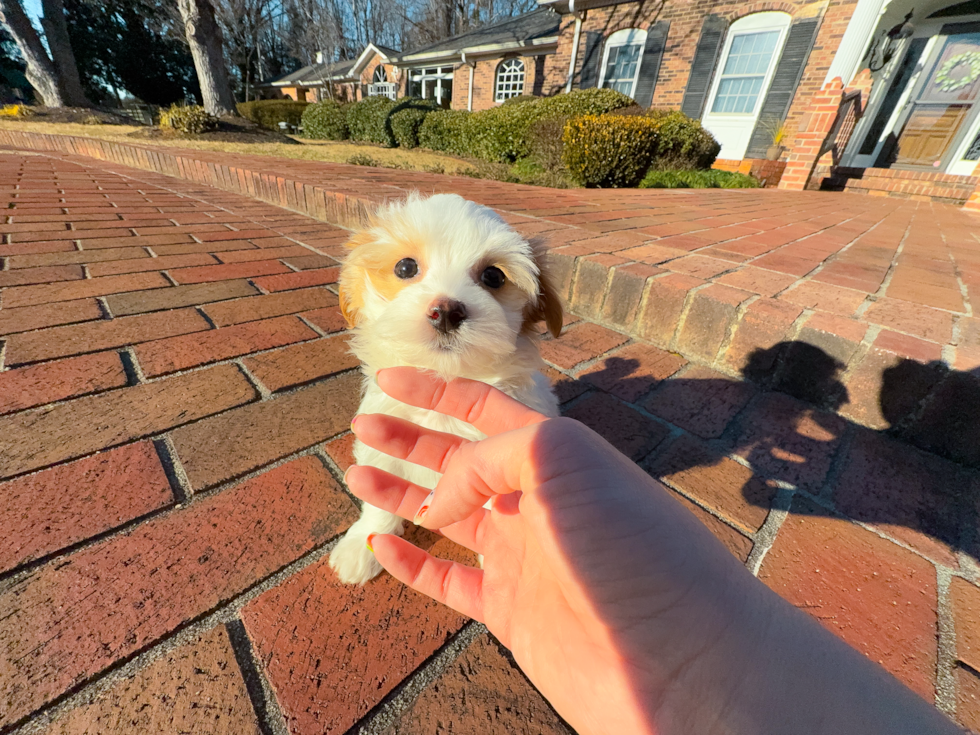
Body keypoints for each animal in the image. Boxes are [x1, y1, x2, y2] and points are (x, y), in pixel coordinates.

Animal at [330, 193, 564, 584]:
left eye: (493, 276)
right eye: (405, 267)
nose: (446, 311)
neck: (445, 380)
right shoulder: (381, 439)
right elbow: (379, 498)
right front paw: (364, 544)